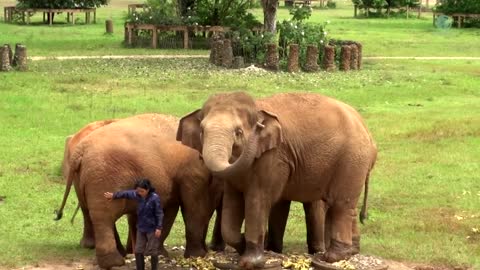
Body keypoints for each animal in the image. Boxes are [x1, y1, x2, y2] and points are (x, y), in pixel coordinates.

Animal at [54, 113, 223, 268]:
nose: (207, 249)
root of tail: (80, 149)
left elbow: (167, 209)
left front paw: (157, 253)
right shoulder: (192, 170)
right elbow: (194, 207)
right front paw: (197, 255)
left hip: (86, 178)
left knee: (92, 211)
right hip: (104, 177)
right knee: (104, 216)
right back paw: (114, 262)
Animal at [177, 91, 378, 268]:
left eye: (239, 132)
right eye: (202, 131)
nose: (258, 127)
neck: (257, 106)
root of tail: (367, 131)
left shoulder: (273, 157)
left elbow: (258, 199)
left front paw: (250, 262)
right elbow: (232, 202)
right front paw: (243, 246)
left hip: (351, 159)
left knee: (340, 204)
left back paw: (333, 257)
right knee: (346, 205)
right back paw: (351, 252)